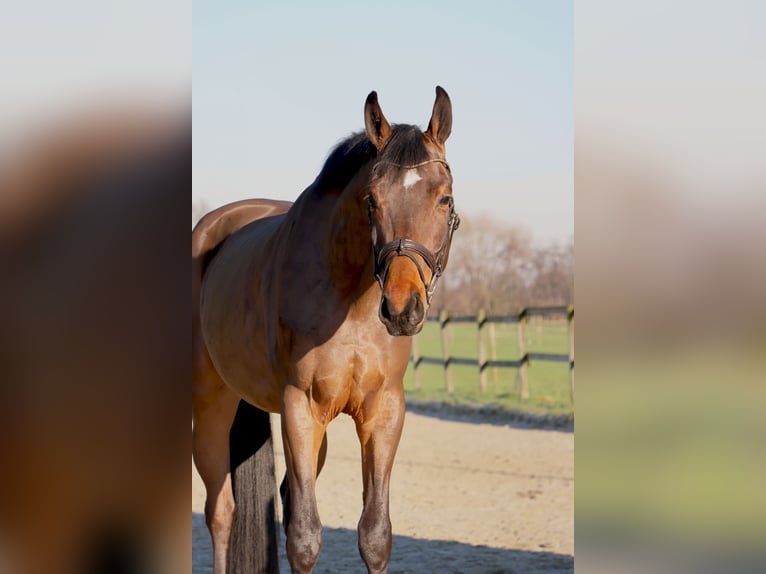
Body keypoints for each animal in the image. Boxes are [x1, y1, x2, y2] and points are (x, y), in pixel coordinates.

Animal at [192, 86, 462, 574]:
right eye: (372, 200)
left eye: (444, 199)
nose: (401, 309)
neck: (349, 300)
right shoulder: (300, 408)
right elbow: (304, 537)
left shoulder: (383, 411)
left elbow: (374, 534)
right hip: (211, 408)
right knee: (221, 514)